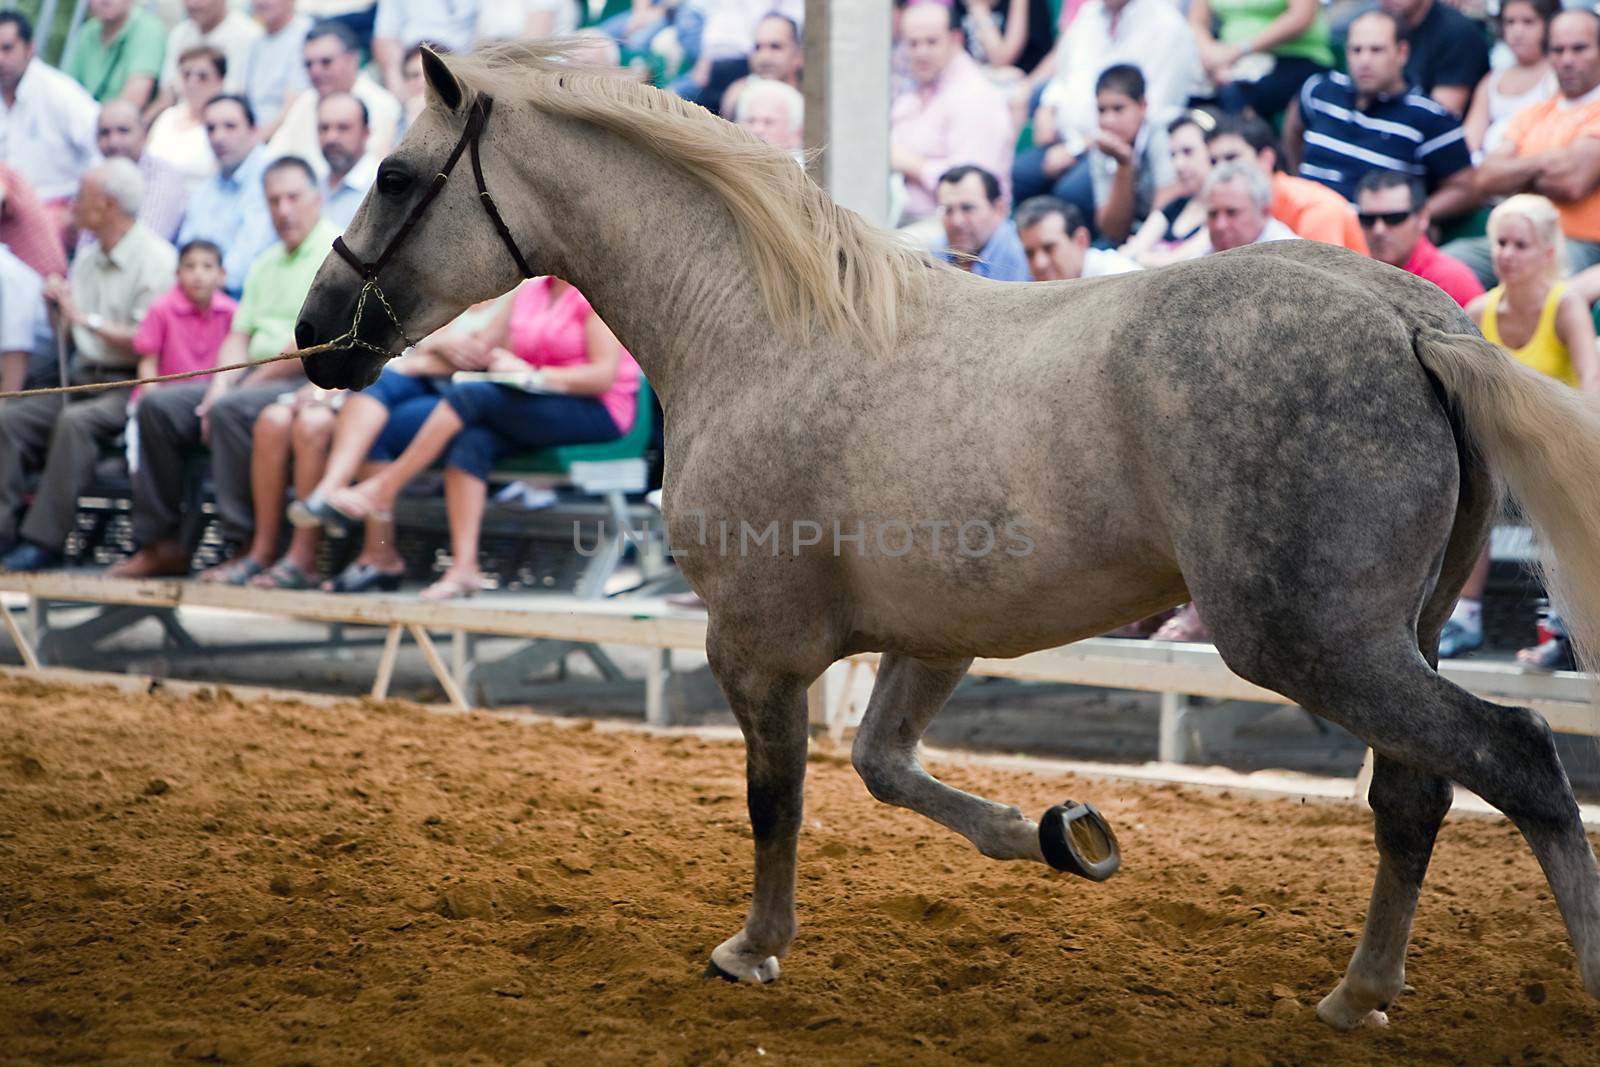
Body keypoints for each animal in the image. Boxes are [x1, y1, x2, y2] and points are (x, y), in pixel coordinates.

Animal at [291, 45, 1600, 1030]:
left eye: (396, 173)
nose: (314, 337)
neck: (760, 325)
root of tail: (1415, 318)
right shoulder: (933, 635)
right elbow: (883, 766)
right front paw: (1065, 836)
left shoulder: (752, 644)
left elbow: (777, 797)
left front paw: (753, 948)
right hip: (1386, 639)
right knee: (1416, 797)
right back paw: (1356, 993)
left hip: (1308, 640)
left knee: (1521, 758)